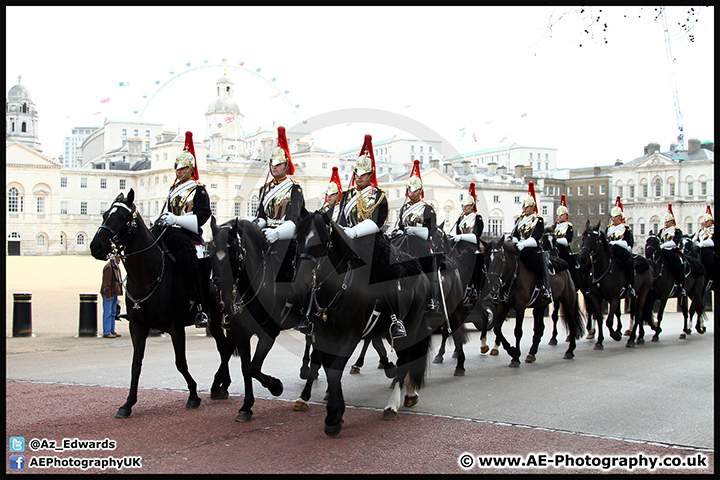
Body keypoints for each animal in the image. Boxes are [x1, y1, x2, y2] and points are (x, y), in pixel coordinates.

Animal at [87, 189, 233, 418]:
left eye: (122, 217)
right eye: (105, 215)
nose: (96, 246)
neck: (147, 275)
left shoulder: (175, 326)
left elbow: (180, 362)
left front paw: (193, 395)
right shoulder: (138, 326)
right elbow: (136, 365)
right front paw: (128, 404)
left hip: (219, 315)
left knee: (226, 346)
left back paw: (219, 384)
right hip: (216, 320)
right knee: (223, 346)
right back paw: (221, 386)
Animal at [292, 210, 434, 436]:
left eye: (321, 243)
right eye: (297, 240)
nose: (299, 285)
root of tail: (420, 272)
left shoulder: (351, 335)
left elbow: (334, 371)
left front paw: (333, 417)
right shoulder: (323, 335)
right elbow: (328, 368)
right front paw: (335, 408)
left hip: (410, 327)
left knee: (405, 361)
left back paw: (392, 405)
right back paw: (410, 393)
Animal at [484, 233, 584, 368]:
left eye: (500, 258)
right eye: (486, 259)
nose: (493, 286)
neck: (513, 276)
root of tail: (564, 266)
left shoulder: (520, 308)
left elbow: (518, 332)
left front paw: (515, 357)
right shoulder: (503, 306)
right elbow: (497, 329)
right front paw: (511, 350)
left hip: (568, 300)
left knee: (572, 323)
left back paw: (570, 350)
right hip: (540, 306)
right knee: (539, 329)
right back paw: (531, 353)